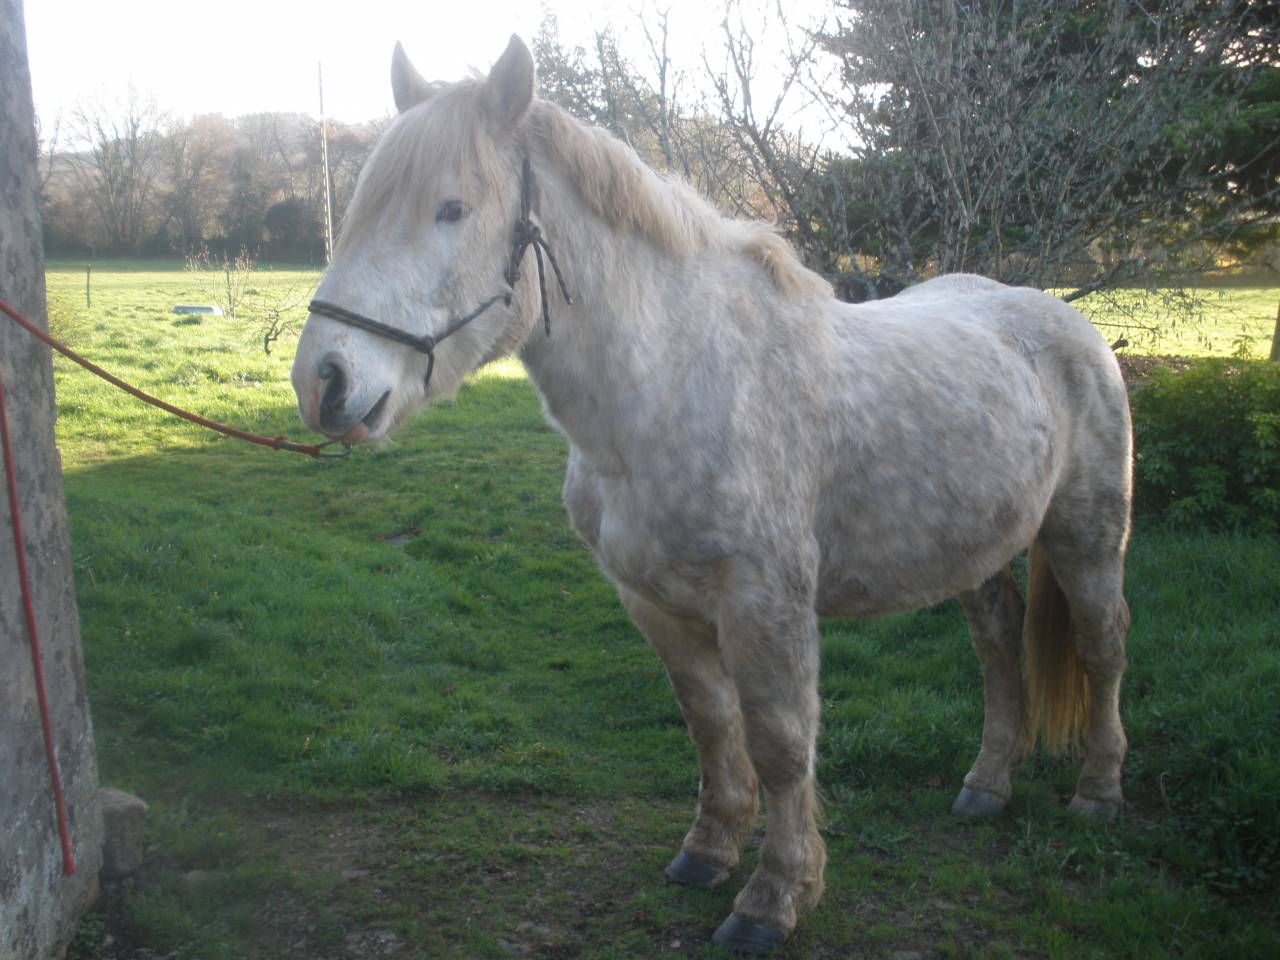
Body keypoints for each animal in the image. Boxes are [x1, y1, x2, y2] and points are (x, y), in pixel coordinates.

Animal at [290, 35, 1132, 954]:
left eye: (451, 207)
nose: (323, 382)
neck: (675, 385)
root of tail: (1072, 326)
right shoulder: (656, 603)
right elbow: (710, 723)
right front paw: (709, 851)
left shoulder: (766, 604)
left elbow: (781, 743)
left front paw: (774, 898)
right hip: (976, 552)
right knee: (999, 643)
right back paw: (987, 784)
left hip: (1087, 539)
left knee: (1102, 647)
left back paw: (1098, 792)